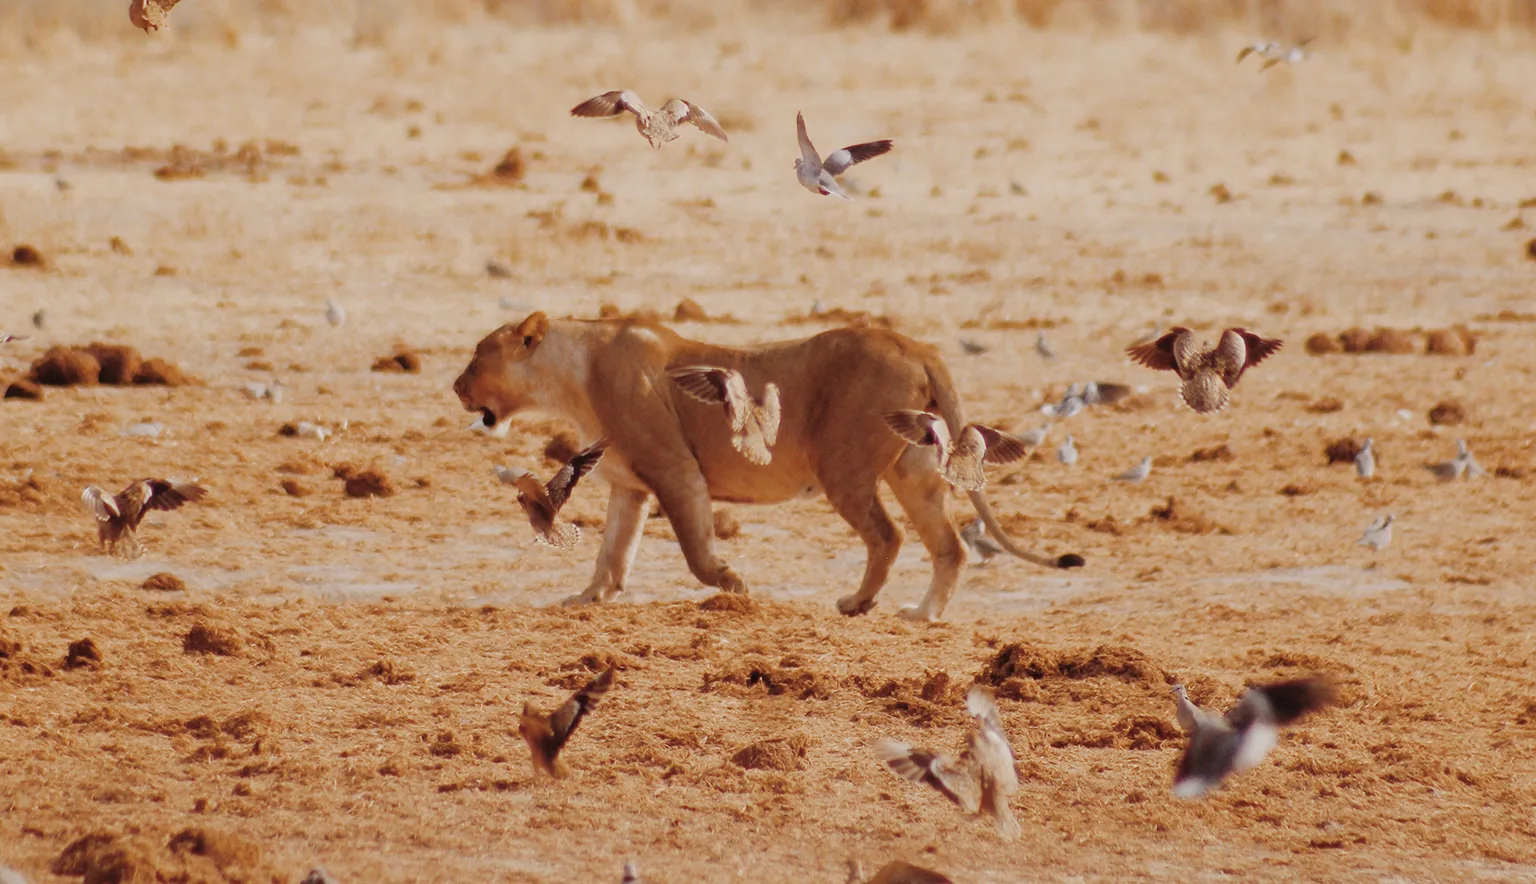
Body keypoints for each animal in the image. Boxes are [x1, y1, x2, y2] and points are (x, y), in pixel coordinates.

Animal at [453, 312, 1084, 621]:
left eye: (477, 357)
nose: (456, 387)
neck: (570, 377)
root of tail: (916, 346)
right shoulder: (629, 487)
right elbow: (612, 551)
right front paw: (588, 599)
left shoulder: (675, 469)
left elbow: (696, 551)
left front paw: (734, 584)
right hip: (916, 470)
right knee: (949, 545)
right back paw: (922, 614)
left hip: (844, 465)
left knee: (888, 536)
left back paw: (858, 604)